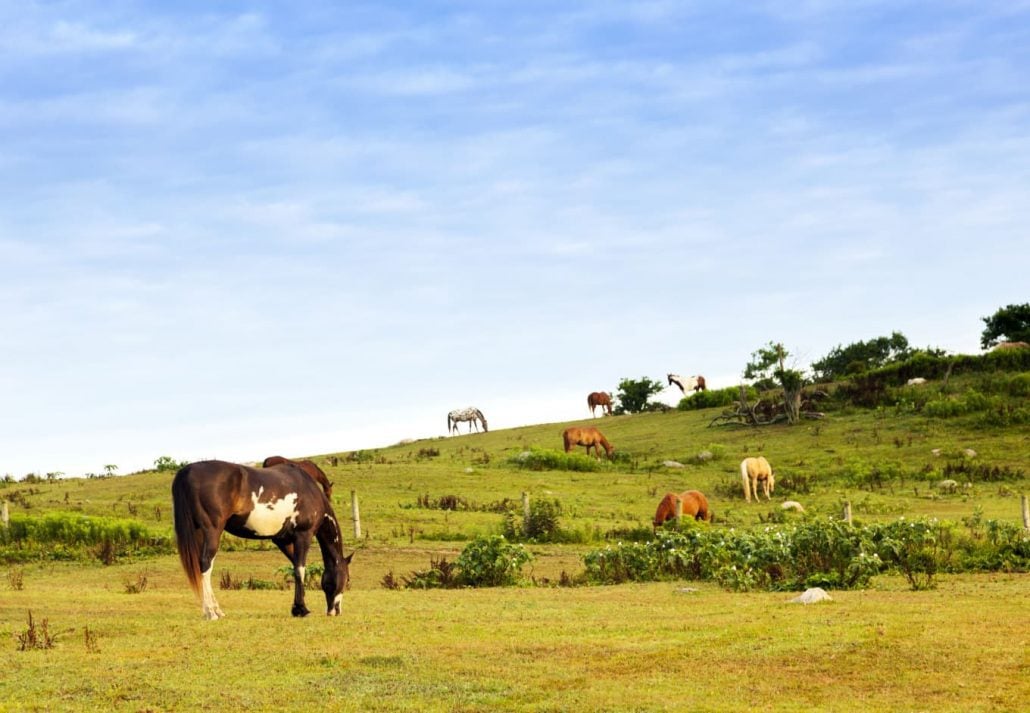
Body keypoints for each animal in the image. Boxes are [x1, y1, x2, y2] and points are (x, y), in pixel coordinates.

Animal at [170, 461, 352, 618]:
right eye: (347, 579)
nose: (335, 611)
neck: (310, 490)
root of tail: (187, 470)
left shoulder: (283, 540)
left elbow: (294, 568)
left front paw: (297, 607)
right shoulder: (303, 535)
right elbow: (300, 570)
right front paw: (302, 609)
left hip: (199, 533)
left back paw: (216, 610)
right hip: (212, 531)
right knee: (206, 565)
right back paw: (211, 612)